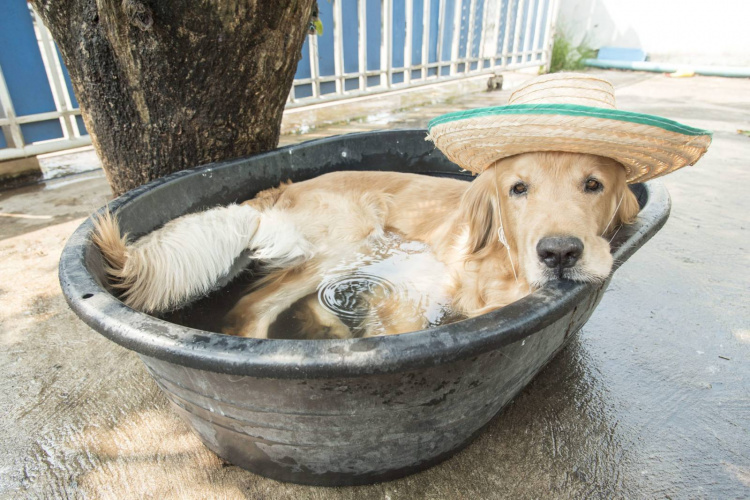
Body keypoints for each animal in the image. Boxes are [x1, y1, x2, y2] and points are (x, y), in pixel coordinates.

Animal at [94, 151, 640, 340]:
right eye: (517, 188)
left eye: (593, 185)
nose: (560, 253)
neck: (502, 271)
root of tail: (282, 188)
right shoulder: (411, 289)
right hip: (352, 234)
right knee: (252, 308)